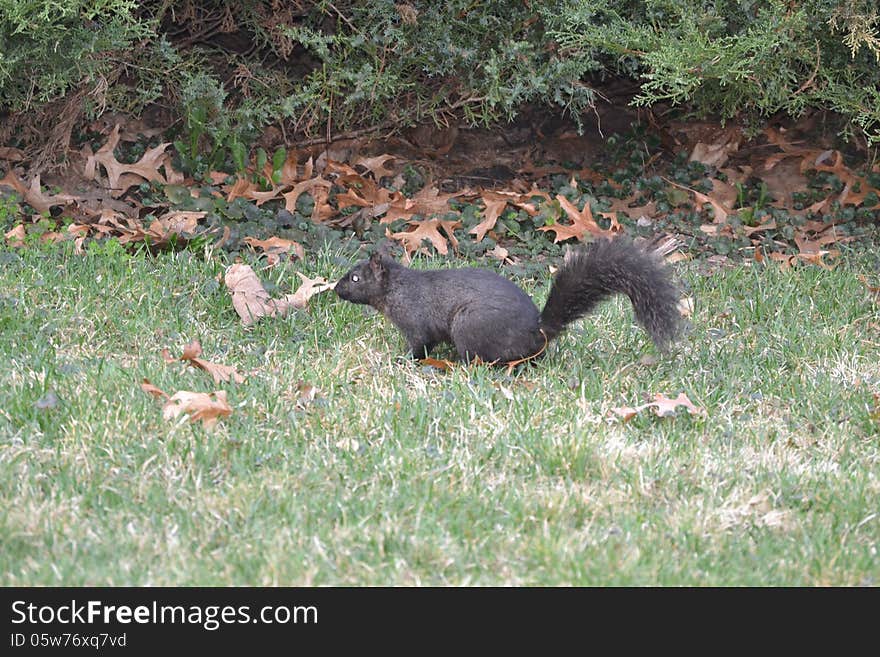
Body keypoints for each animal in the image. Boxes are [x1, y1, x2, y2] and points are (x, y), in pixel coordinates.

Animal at [334, 236, 684, 362]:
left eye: (355, 278)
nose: (336, 290)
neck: (397, 288)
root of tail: (537, 332)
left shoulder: (416, 321)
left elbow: (420, 345)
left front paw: (403, 360)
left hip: (469, 325)